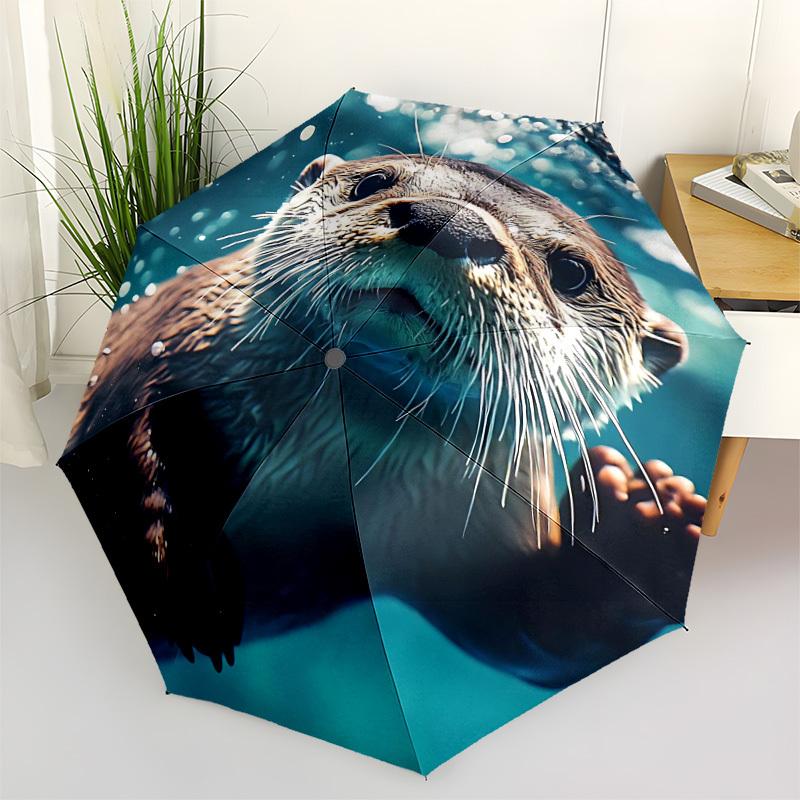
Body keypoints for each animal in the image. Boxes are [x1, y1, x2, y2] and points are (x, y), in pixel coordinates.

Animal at [60, 153, 706, 686]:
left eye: (573, 272)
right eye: (372, 182)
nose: (448, 221)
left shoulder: (467, 533)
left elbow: (534, 632)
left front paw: (642, 518)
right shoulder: (163, 343)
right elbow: (121, 451)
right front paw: (186, 575)